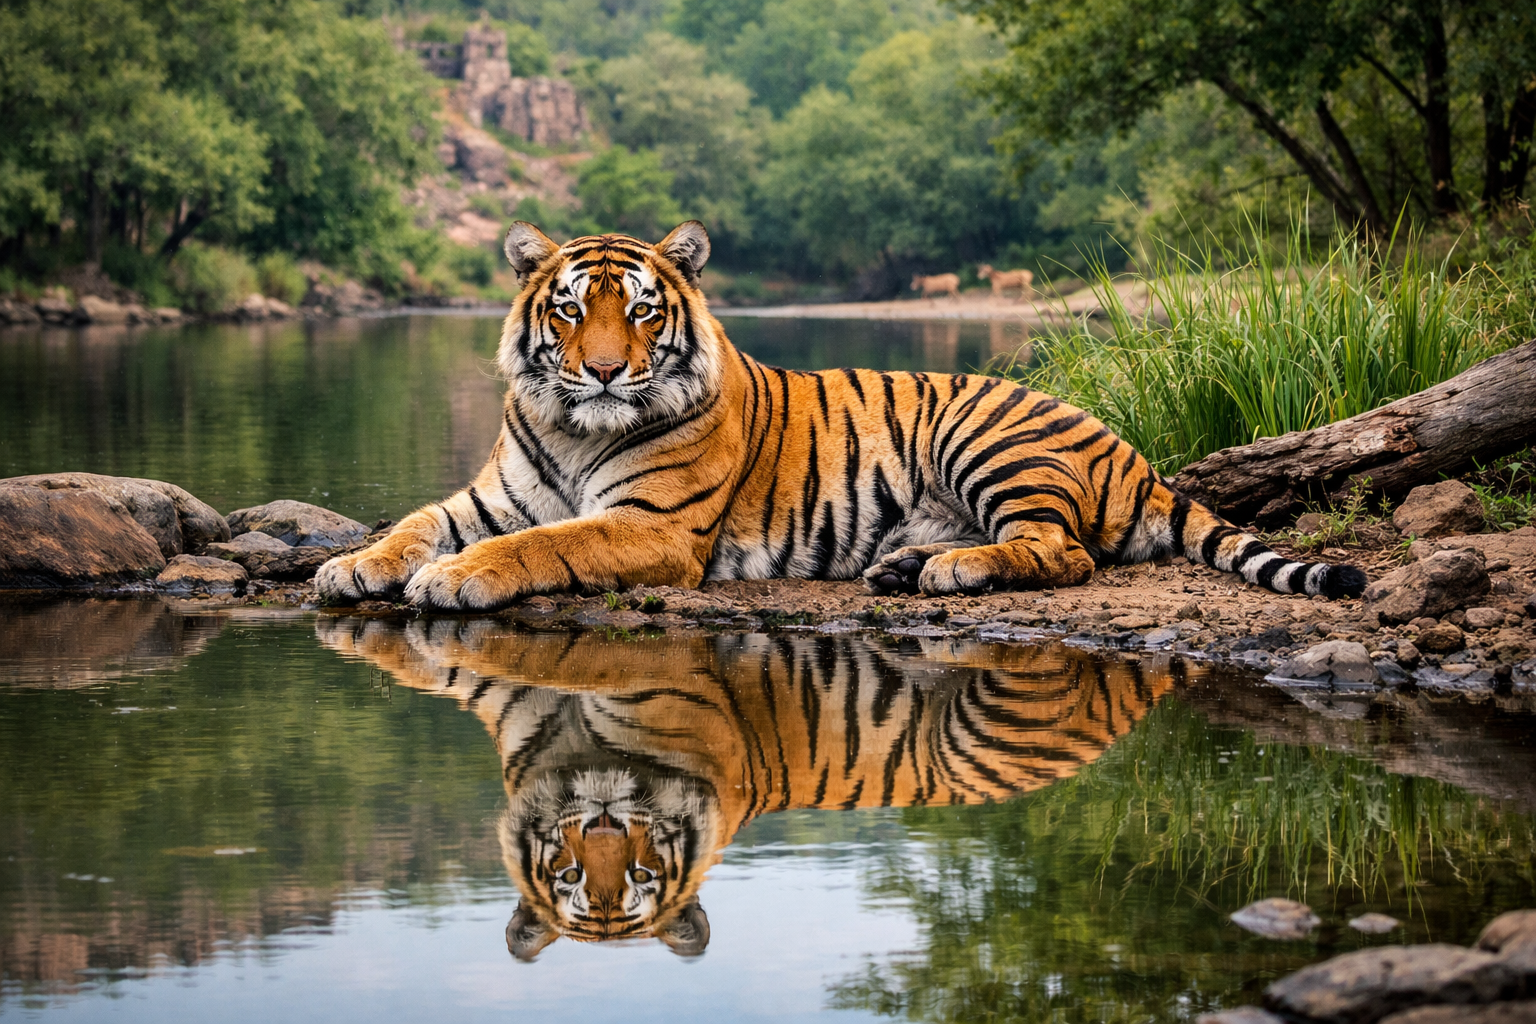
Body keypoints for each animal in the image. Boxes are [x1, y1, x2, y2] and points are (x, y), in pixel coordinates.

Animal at [315, 220, 1367, 611]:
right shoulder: (490, 496)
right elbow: (416, 522)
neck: (580, 430)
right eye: (571, 310)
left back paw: (949, 573)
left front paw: (456, 581)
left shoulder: (652, 526)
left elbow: (543, 544)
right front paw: (349, 565)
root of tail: (1134, 454)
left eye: (643, 311)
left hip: (985, 436)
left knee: (1062, 553)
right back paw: (907, 565)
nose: (606, 373)